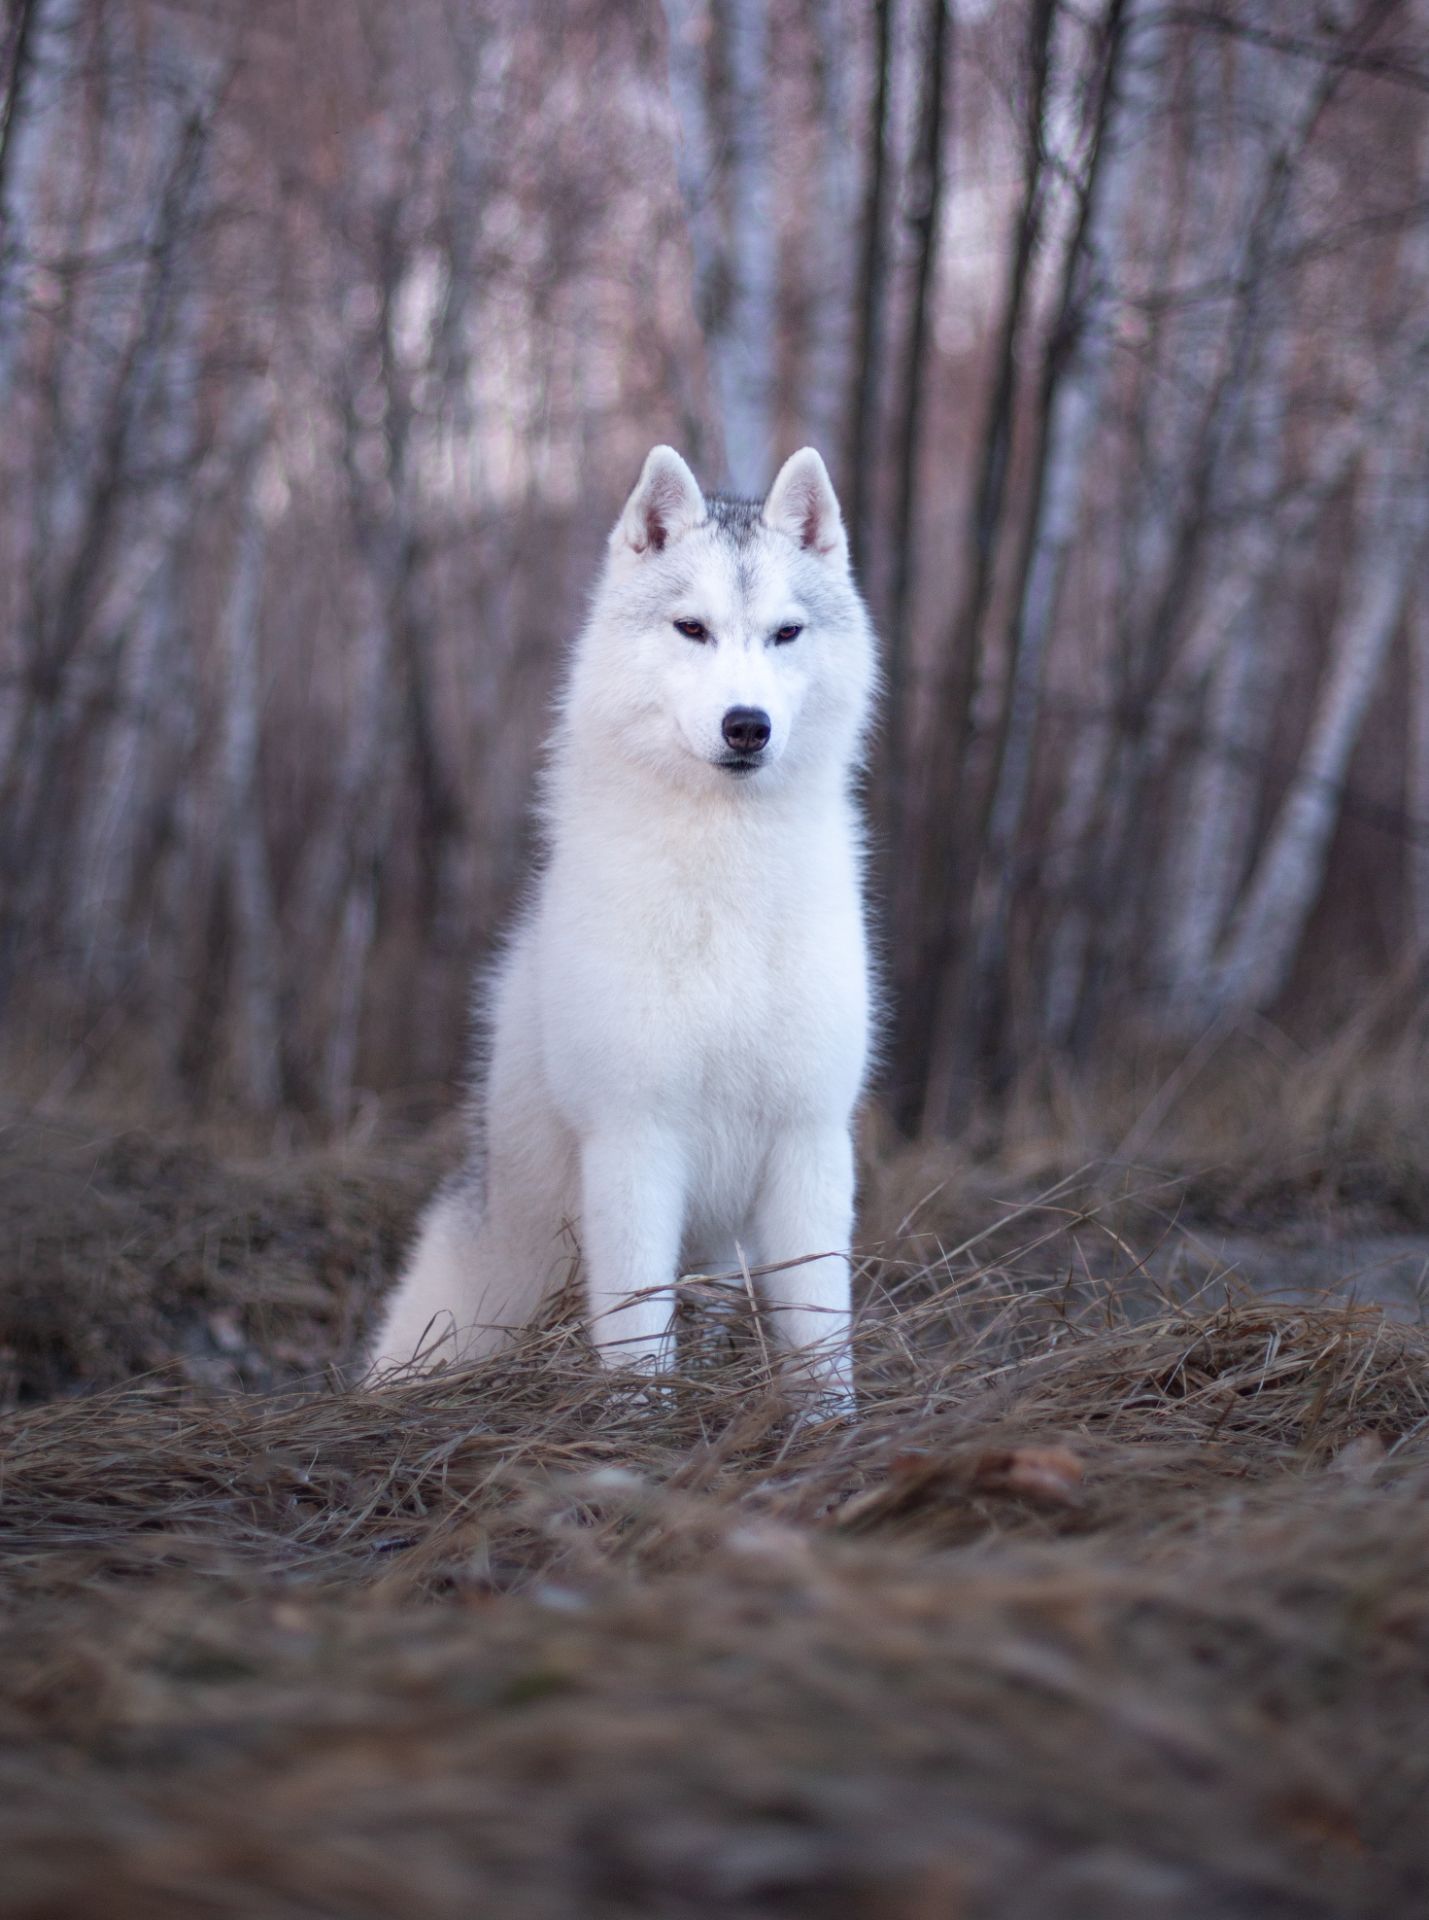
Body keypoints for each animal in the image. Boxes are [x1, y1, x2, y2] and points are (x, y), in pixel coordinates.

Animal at [368, 451, 875, 1413]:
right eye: (692, 629)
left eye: (785, 634)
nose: (746, 725)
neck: (726, 878)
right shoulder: (636, 1139)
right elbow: (639, 1336)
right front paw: (639, 1427)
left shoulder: (809, 1139)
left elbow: (821, 1339)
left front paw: (829, 1427)